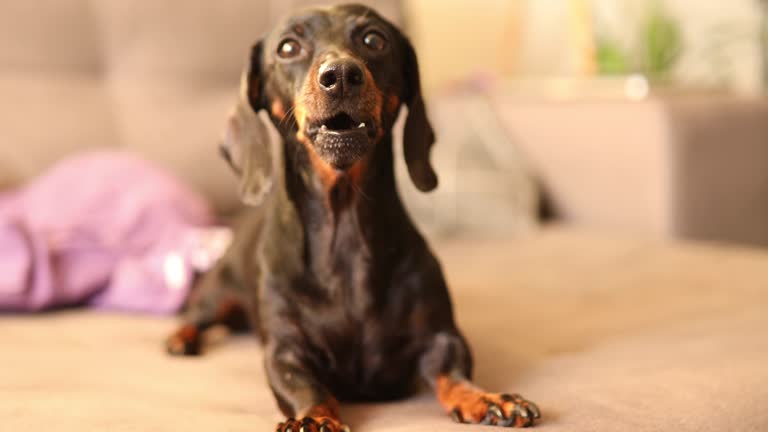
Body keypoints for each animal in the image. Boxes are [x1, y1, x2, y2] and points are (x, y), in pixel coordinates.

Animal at [166, 4, 540, 432]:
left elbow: (454, 371)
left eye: (374, 39)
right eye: (287, 47)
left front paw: (487, 398)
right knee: (199, 314)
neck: (343, 227)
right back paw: (181, 338)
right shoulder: (285, 350)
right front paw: (313, 418)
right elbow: (304, 386)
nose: (341, 75)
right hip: (218, 291)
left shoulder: (441, 337)